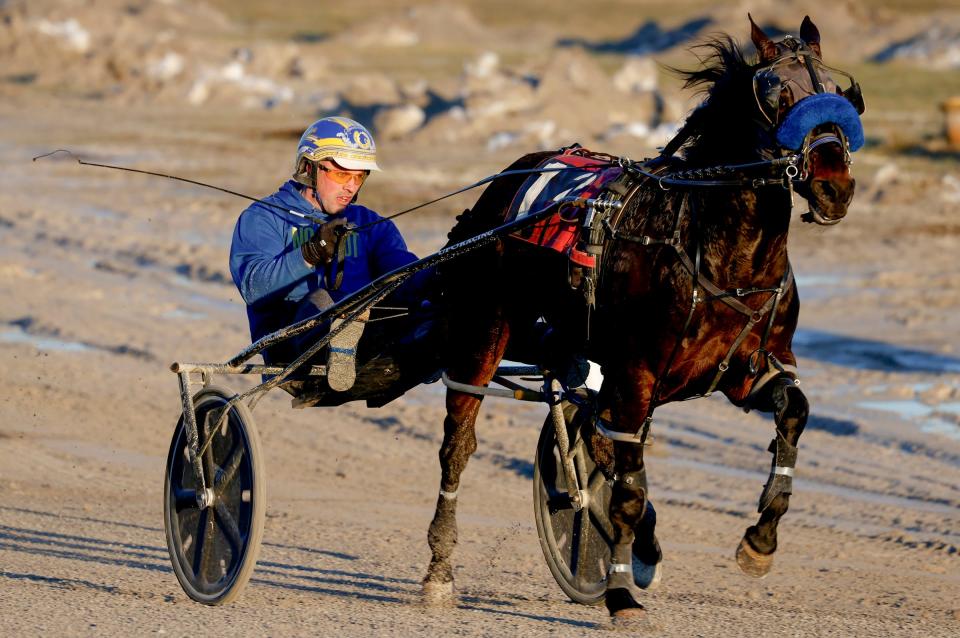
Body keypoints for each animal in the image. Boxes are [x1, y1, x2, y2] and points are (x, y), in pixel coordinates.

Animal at [420, 13, 864, 624]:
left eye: (838, 90)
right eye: (781, 96)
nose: (833, 185)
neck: (722, 253)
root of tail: (512, 177)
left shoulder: (749, 369)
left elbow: (793, 411)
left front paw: (760, 540)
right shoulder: (637, 374)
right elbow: (627, 489)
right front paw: (619, 591)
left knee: (591, 424)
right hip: (485, 331)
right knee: (459, 442)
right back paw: (440, 569)